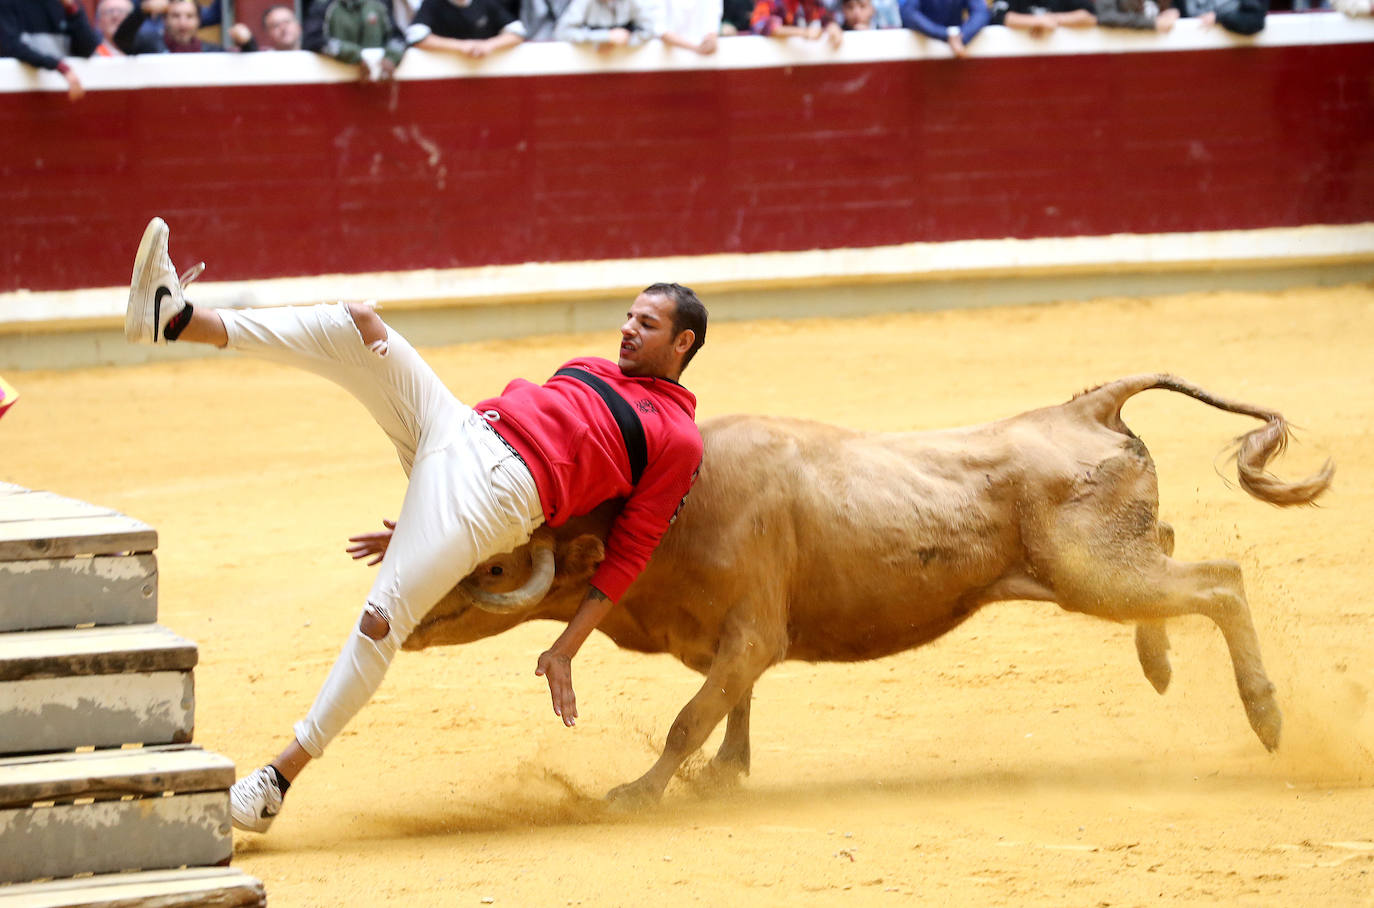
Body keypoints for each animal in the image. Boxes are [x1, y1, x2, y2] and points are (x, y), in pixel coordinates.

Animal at [401, 370, 1330, 802]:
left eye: (494, 567)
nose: (404, 620)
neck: (673, 507)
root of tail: (1084, 408)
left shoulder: (749, 634)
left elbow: (690, 718)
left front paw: (638, 793)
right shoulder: (737, 642)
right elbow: (730, 708)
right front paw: (725, 775)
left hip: (1094, 573)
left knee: (1219, 581)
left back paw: (1268, 717)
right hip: (1103, 566)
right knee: (1173, 555)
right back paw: (1161, 664)